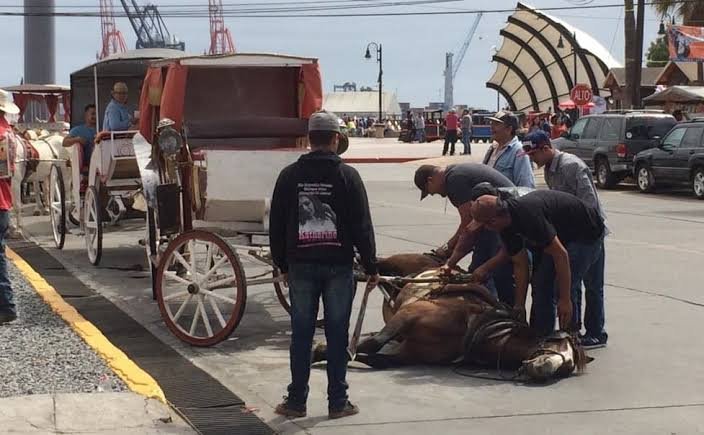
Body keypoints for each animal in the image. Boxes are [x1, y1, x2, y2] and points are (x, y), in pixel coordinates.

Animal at [316, 266, 584, 382]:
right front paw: (318, 352)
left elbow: (375, 358)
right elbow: (372, 344)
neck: (475, 327)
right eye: (557, 345)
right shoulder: (410, 314)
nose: (544, 370)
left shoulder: (409, 352)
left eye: (567, 367)